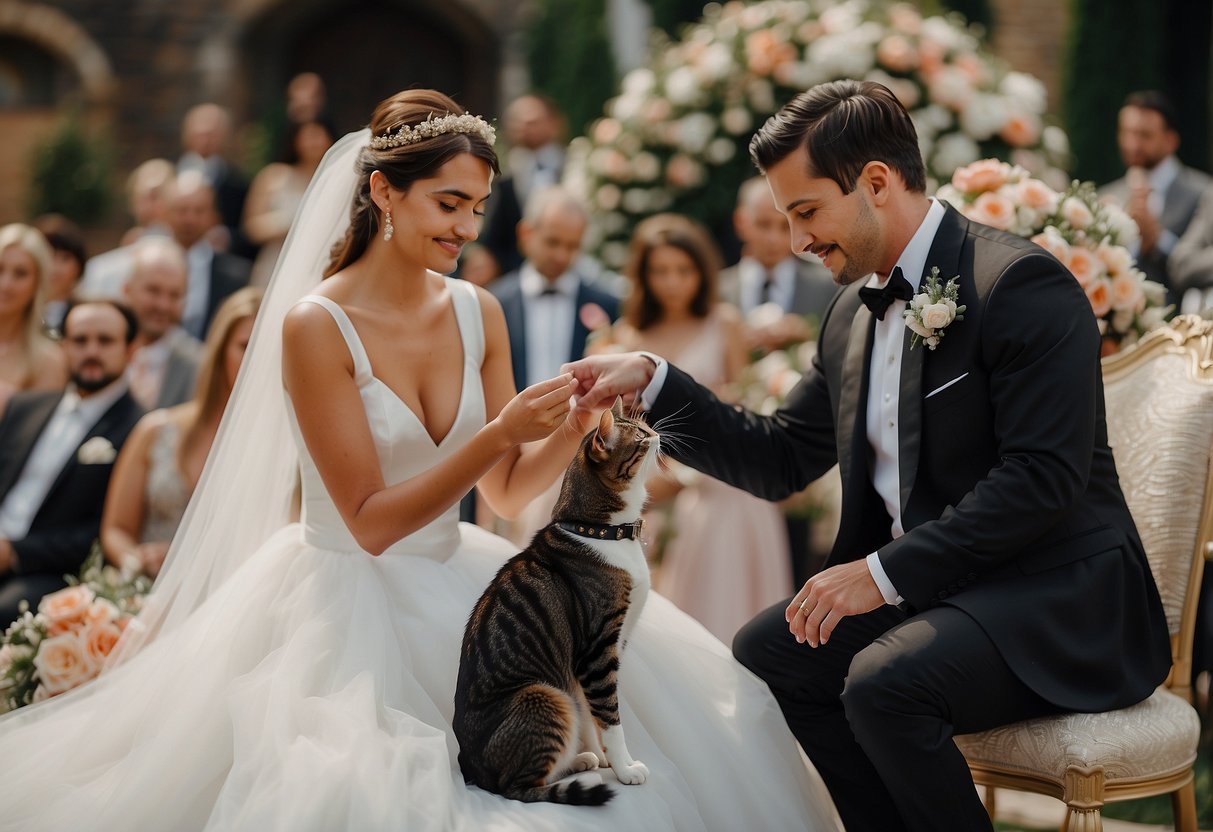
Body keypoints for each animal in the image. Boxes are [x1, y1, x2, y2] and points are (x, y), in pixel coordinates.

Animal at [456, 400, 664, 805]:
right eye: (641, 435)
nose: (660, 433)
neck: (601, 530)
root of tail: (471, 770)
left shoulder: (595, 656)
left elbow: (590, 712)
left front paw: (601, 756)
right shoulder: (598, 647)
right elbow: (610, 716)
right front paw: (624, 767)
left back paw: (580, 760)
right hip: (543, 695)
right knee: (515, 788)